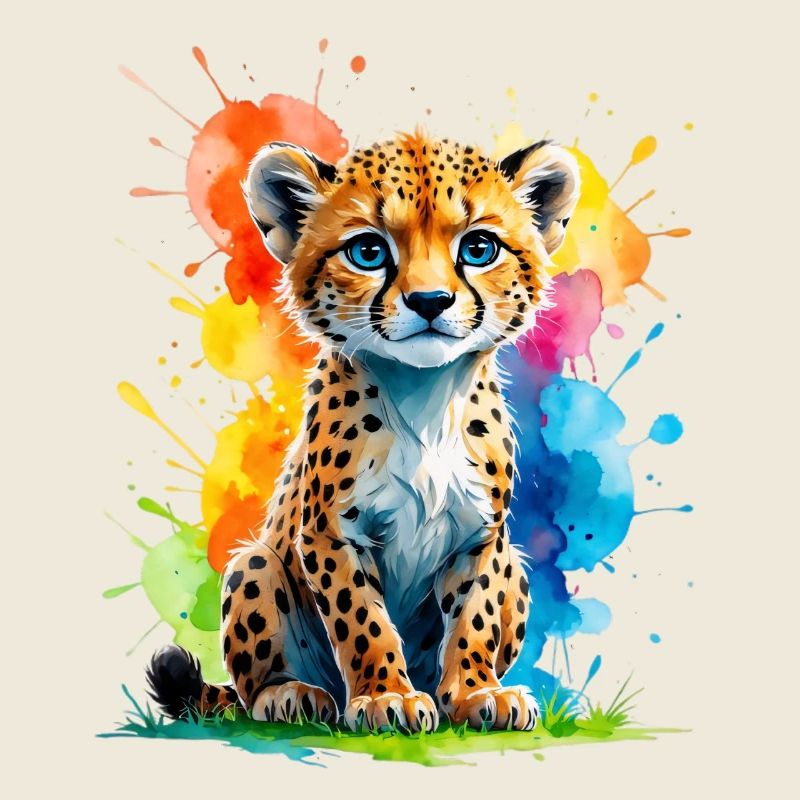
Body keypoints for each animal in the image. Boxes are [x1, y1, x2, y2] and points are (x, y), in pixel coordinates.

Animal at [146, 130, 579, 733]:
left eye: (479, 248)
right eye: (368, 252)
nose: (430, 302)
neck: (424, 399)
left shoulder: (481, 539)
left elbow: (474, 620)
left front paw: (476, 693)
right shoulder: (330, 534)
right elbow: (362, 621)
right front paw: (385, 697)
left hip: (514, 563)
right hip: (255, 562)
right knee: (255, 683)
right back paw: (291, 694)